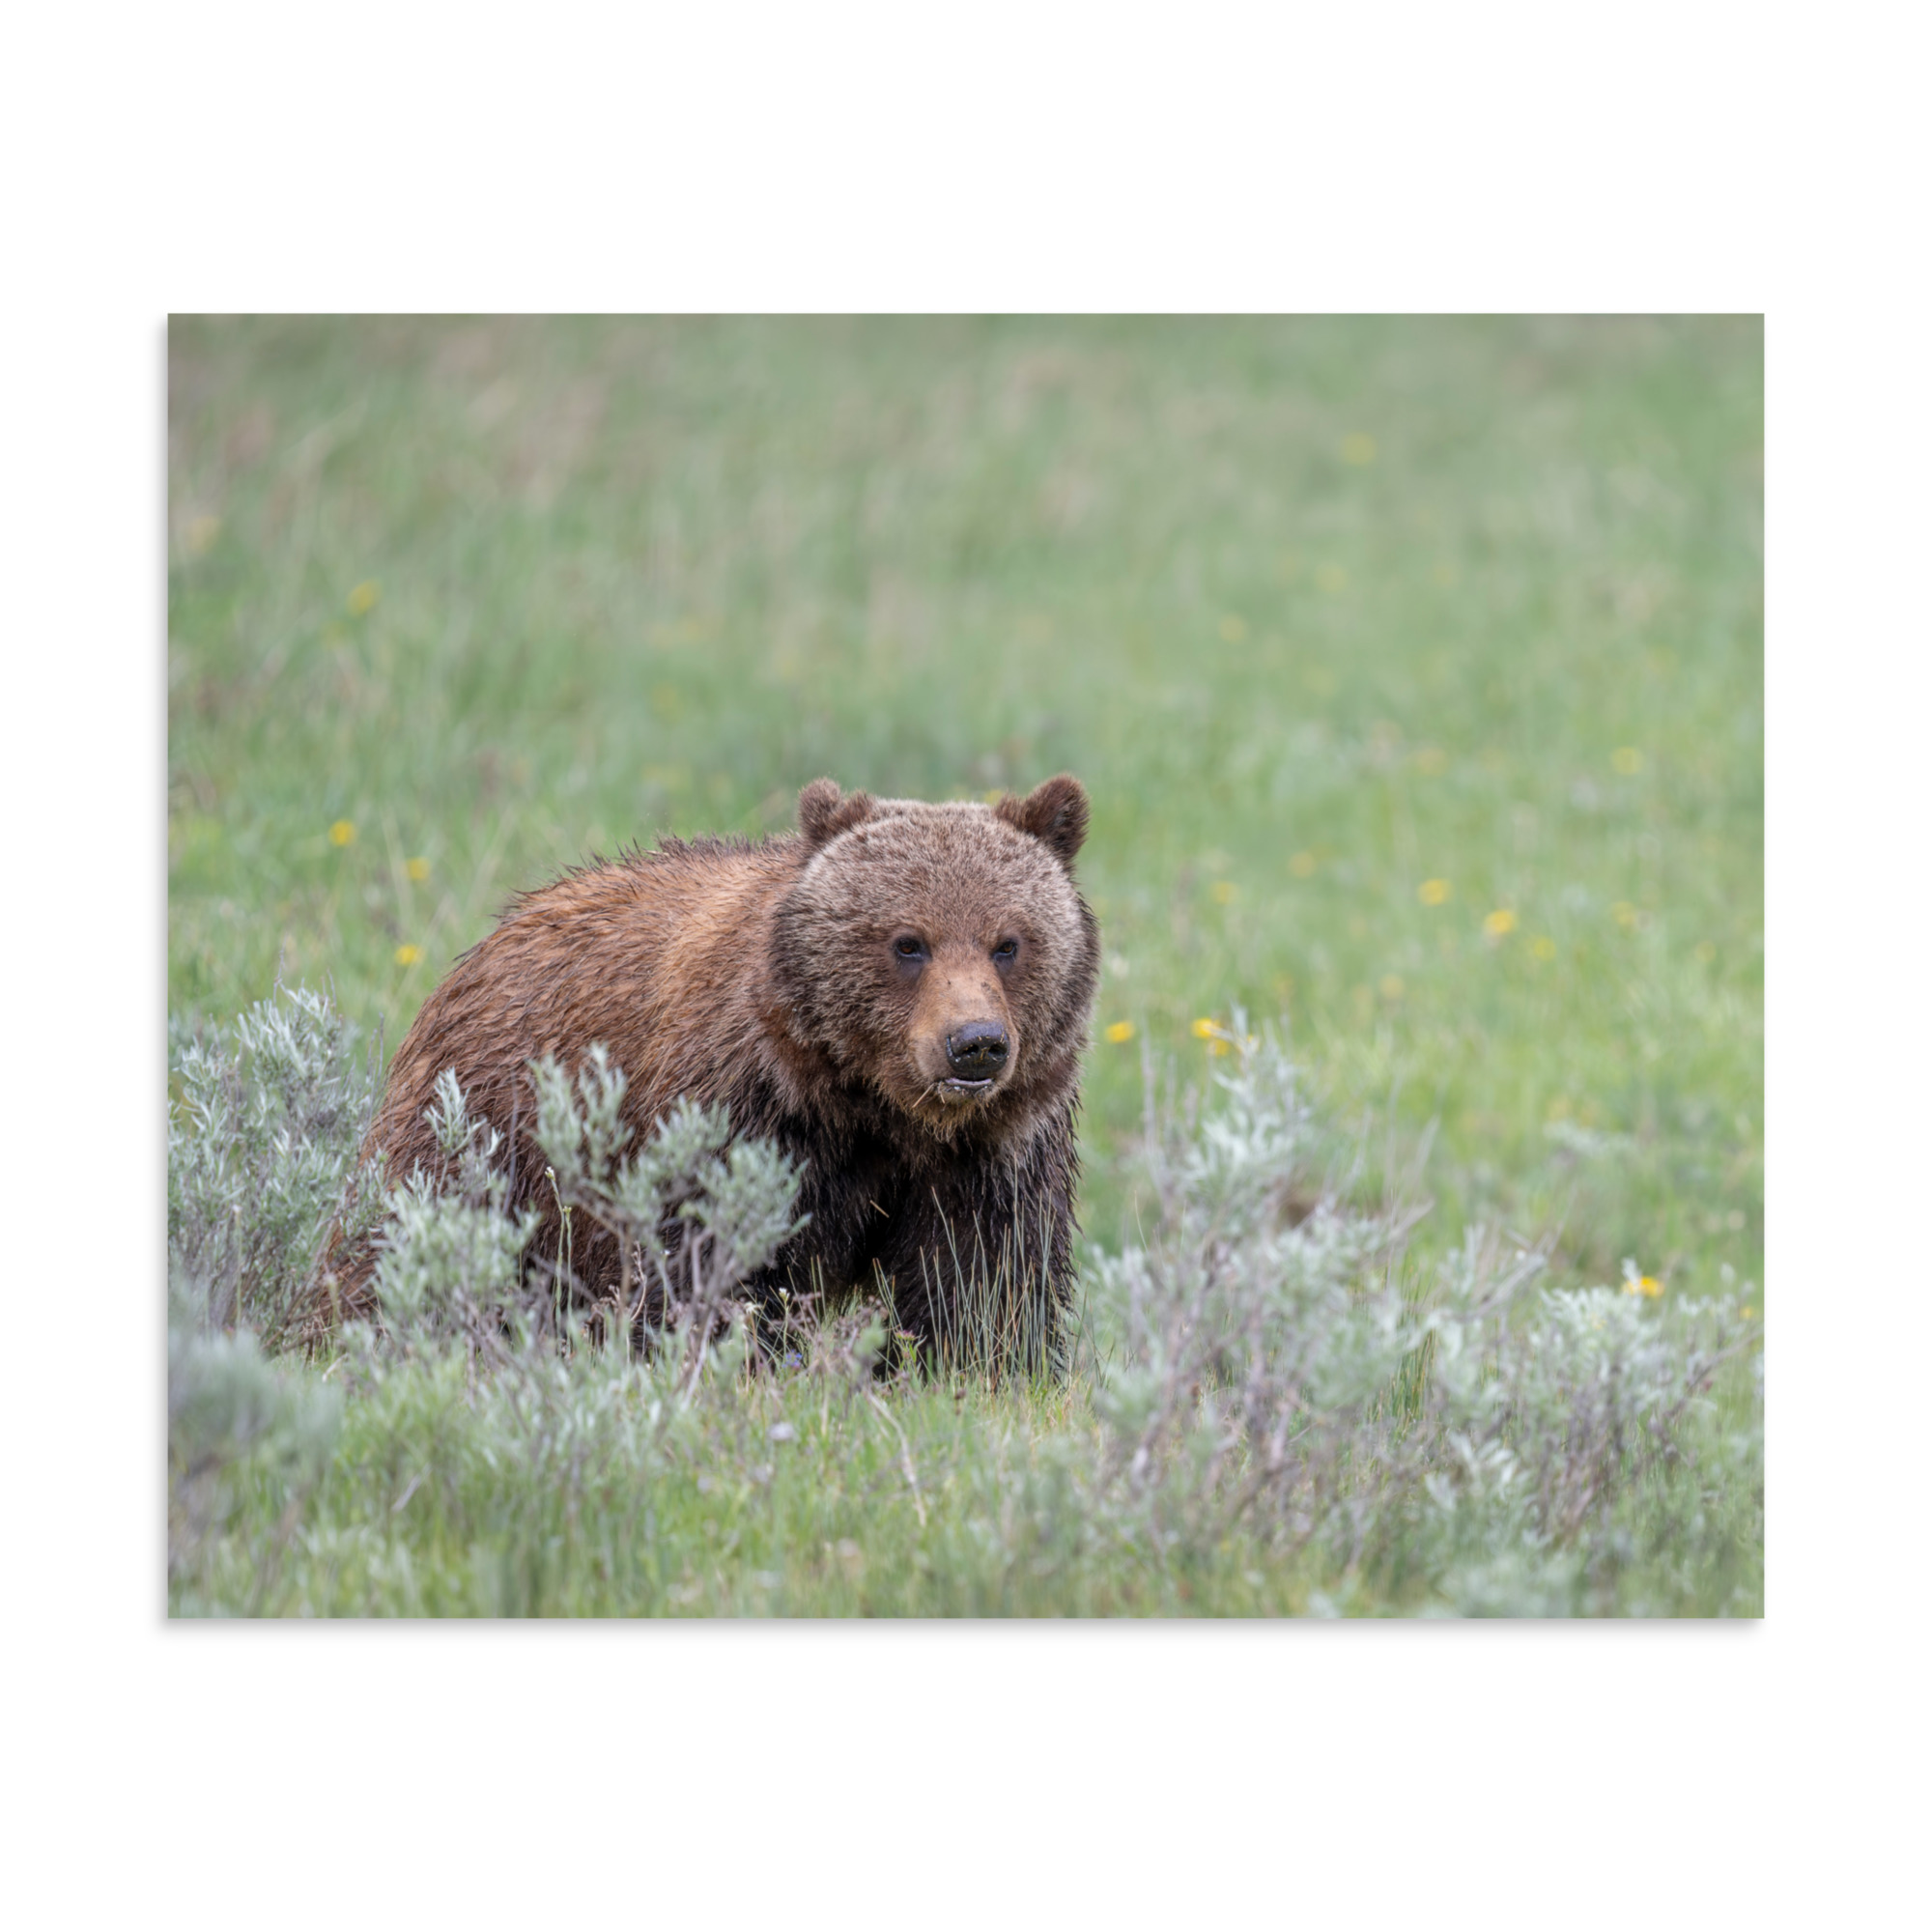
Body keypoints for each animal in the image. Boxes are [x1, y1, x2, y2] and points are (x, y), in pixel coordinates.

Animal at [322, 774, 1101, 1366]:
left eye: (1008, 942)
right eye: (908, 942)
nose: (975, 1044)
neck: (874, 1107)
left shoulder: (993, 1150)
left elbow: (982, 1283)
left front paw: (972, 1369)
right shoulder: (744, 1115)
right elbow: (706, 1262)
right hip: (485, 1128)